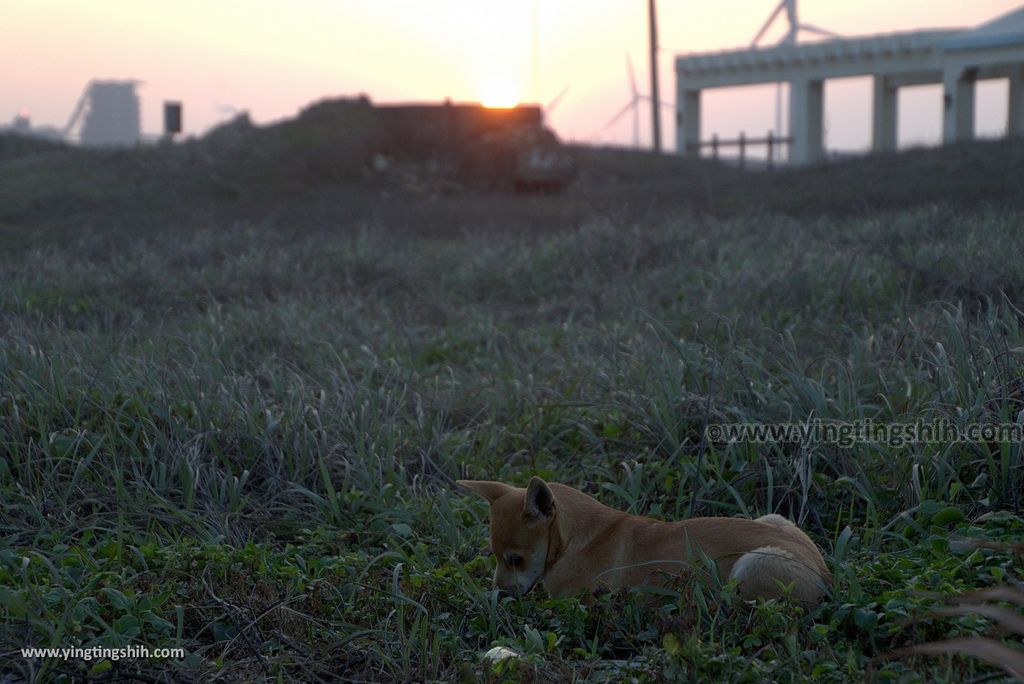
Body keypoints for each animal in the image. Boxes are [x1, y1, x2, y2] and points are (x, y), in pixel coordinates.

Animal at [460, 475, 827, 602]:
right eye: (494, 556)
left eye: (515, 559)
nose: (497, 595)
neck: (575, 539)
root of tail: (826, 575)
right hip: (774, 520)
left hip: (753, 564)